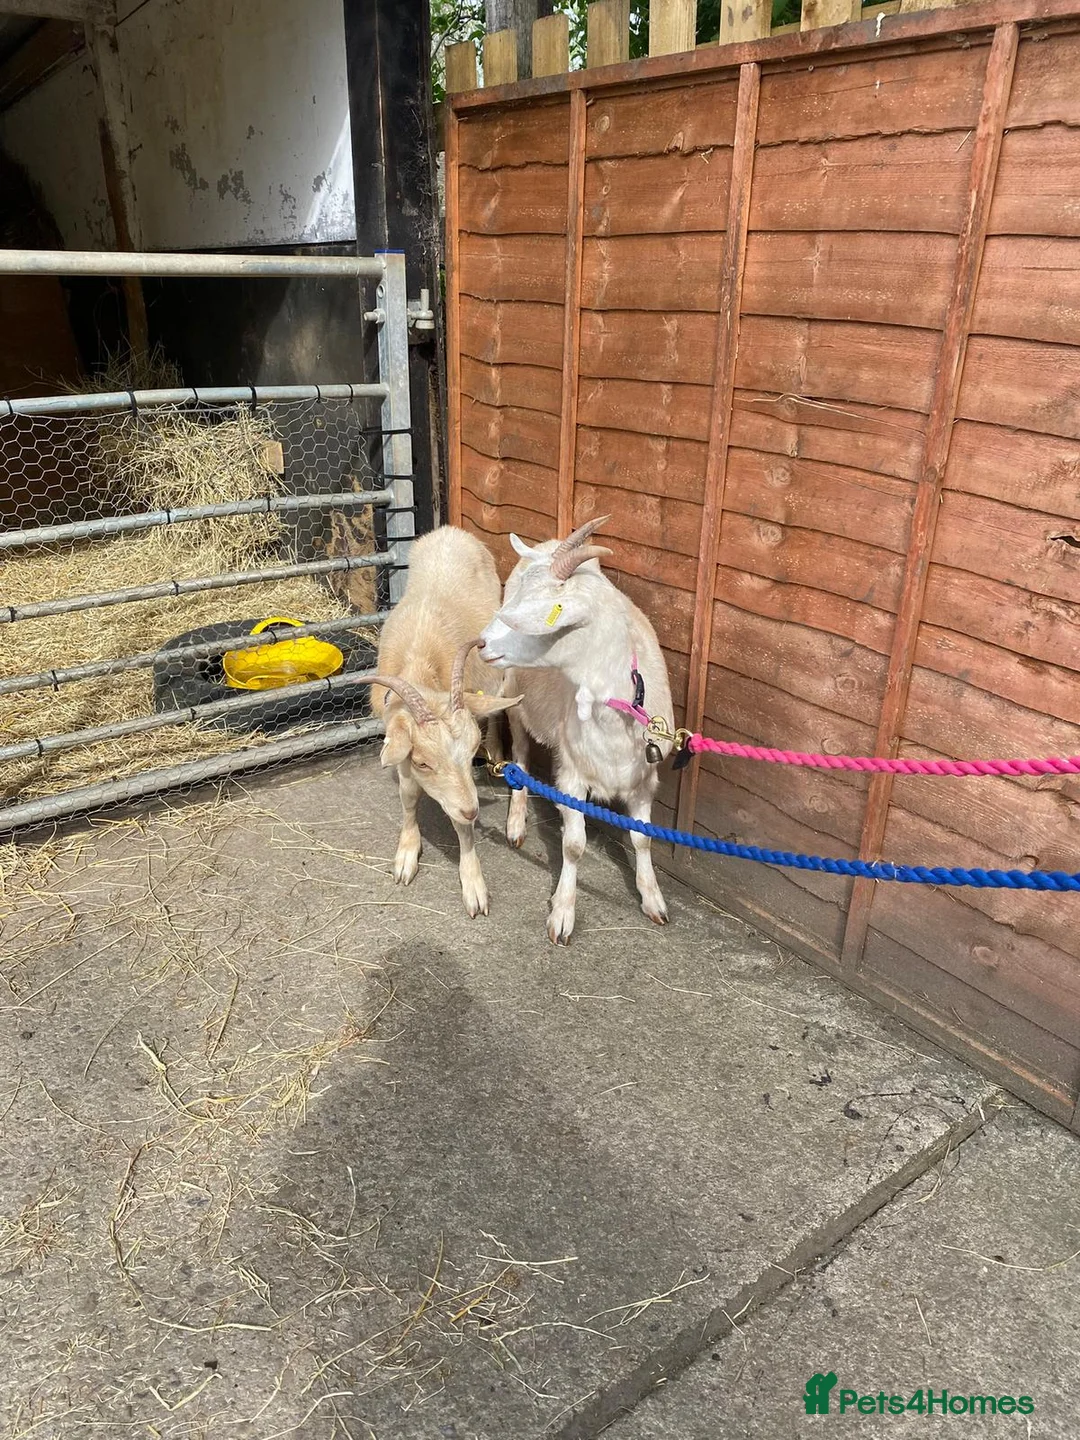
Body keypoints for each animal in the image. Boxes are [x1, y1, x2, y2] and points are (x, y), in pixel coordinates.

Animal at [370, 526, 520, 918]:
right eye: (424, 763)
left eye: (470, 755)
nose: (473, 810)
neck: (420, 661)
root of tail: (450, 531)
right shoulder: (402, 749)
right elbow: (409, 797)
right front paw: (407, 853)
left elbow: (459, 825)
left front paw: (473, 884)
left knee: (494, 712)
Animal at [478, 517, 673, 944]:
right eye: (514, 599)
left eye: (536, 614)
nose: (481, 643)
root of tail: (547, 542)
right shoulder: (571, 775)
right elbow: (574, 845)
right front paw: (563, 912)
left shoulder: (644, 778)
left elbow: (642, 837)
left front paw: (652, 897)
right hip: (517, 698)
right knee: (520, 757)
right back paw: (516, 822)